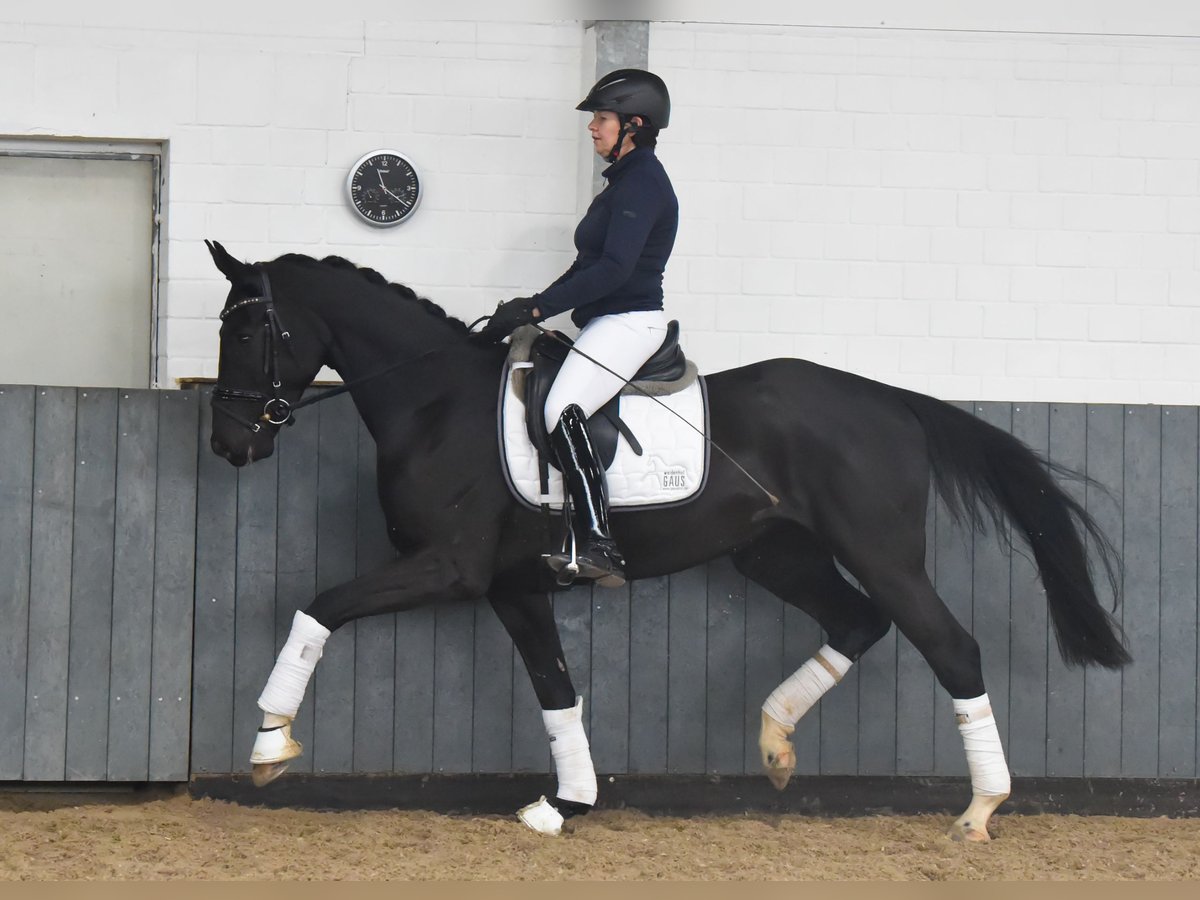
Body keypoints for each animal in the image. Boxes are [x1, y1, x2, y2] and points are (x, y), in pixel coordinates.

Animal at [201, 241, 1128, 844]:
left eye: (244, 333)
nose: (230, 445)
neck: (434, 404)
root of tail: (889, 398)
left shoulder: (450, 568)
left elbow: (318, 607)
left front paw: (269, 743)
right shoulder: (514, 584)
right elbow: (556, 689)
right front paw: (567, 804)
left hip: (882, 552)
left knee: (950, 646)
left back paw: (979, 810)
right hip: (776, 551)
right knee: (856, 624)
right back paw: (775, 743)